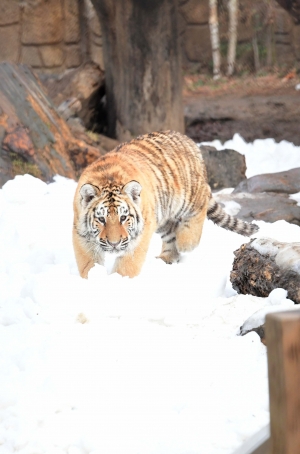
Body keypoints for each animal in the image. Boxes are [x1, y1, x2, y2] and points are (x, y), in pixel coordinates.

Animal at [72, 129, 258, 278]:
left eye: (123, 218)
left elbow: (127, 265)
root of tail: (188, 140)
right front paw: (92, 279)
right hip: (162, 216)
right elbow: (87, 263)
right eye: (101, 219)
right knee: (171, 234)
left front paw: (117, 281)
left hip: (188, 196)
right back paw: (167, 258)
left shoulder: (139, 236)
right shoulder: (82, 234)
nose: (114, 244)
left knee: (199, 209)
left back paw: (186, 242)